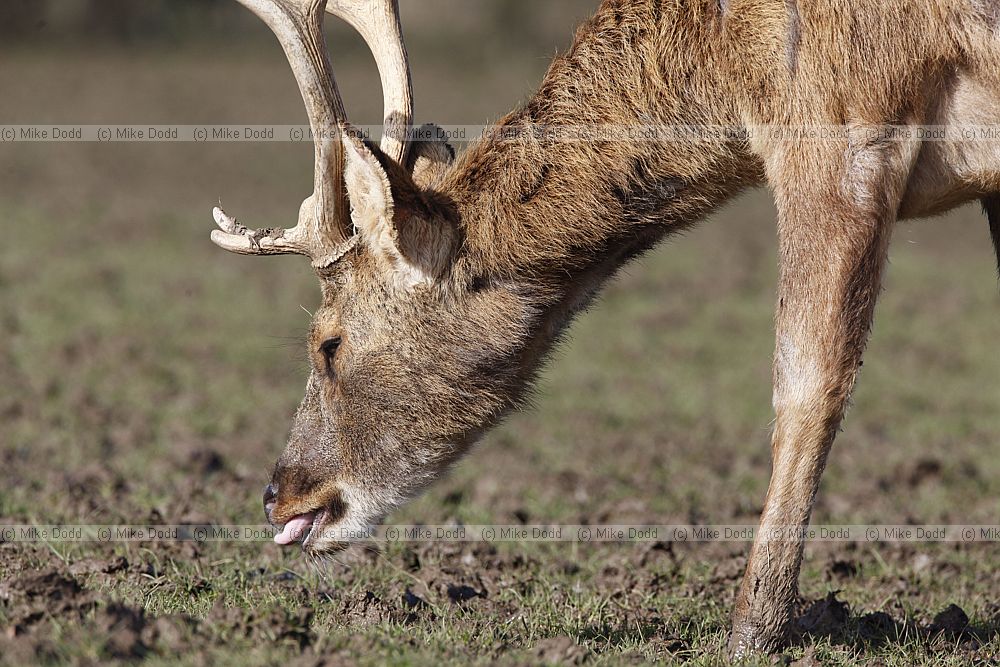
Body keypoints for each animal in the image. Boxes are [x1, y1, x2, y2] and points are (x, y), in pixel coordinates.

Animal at [206, 0, 1000, 658]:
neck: (733, 60)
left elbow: (807, 382)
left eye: (328, 342)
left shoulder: (847, 128)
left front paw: (753, 628)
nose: (280, 494)